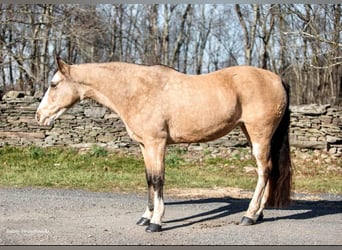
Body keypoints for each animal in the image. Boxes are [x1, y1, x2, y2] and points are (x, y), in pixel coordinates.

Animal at [36, 56, 292, 232]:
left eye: (53, 84)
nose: (39, 116)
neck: (136, 90)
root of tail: (277, 79)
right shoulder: (144, 146)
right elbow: (149, 179)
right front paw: (145, 217)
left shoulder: (156, 144)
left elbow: (158, 180)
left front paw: (156, 222)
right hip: (251, 133)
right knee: (269, 171)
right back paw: (258, 214)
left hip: (259, 134)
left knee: (264, 171)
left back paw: (249, 215)